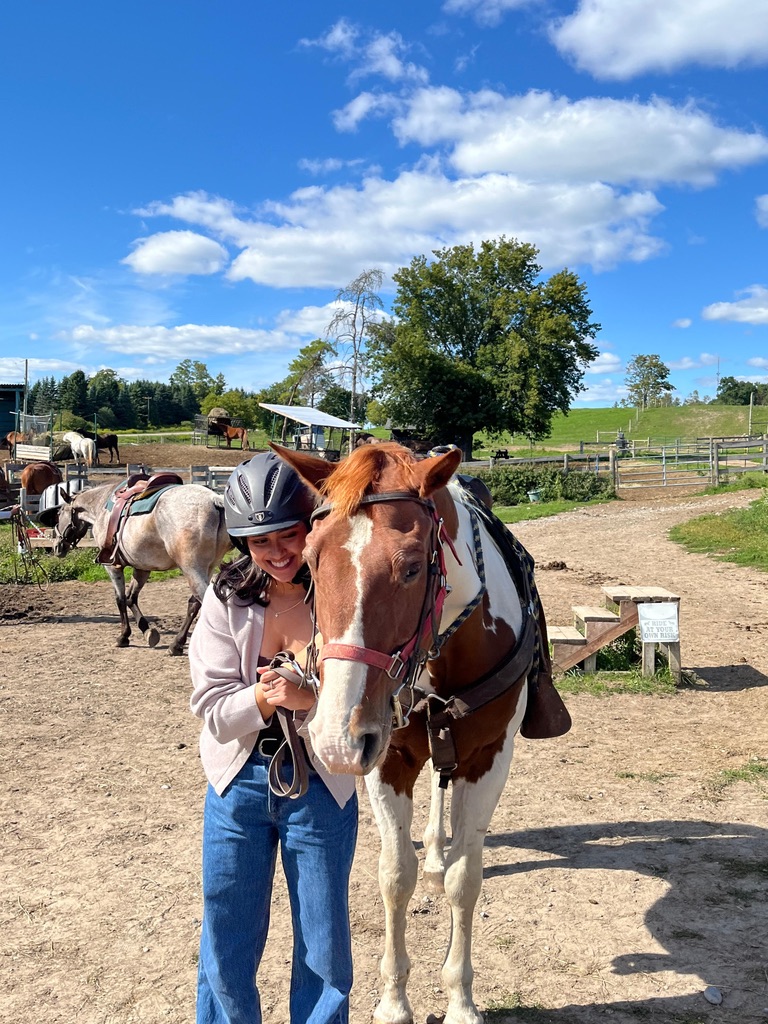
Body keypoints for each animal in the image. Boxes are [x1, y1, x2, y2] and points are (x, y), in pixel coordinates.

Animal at [52, 480, 232, 655]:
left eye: (59, 513)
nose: (57, 547)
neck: (101, 506)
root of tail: (214, 500)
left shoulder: (112, 566)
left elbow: (120, 599)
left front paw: (123, 636)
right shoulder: (142, 568)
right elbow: (131, 597)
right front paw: (147, 632)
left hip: (192, 570)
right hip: (207, 569)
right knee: (194, 604)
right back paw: (176, 644)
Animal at [274, 441, 571, 1024]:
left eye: (412, 567)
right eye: (311, 559)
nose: (334, 740)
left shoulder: (488, 757)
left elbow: (465, 878)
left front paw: (460, 1000)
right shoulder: (386, 758)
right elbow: (395, 875)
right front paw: (393, 1001)